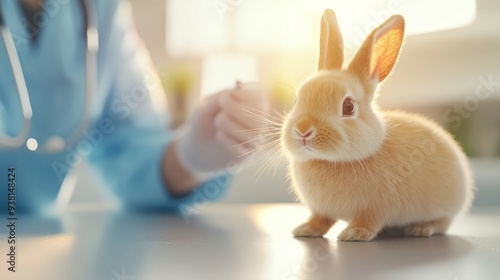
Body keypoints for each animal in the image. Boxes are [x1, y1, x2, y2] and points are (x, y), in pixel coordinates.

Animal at [282, 8, 472, 241]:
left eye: (348, 107)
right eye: (296, 101)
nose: (303, 131)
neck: (331, 161)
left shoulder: (378, 208)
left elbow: (369, 221)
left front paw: (353, 233)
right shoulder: (322, 210)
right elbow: (321, 220)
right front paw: (305, 230)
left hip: (443, 209)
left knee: (441, 223)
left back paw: (420, 229)